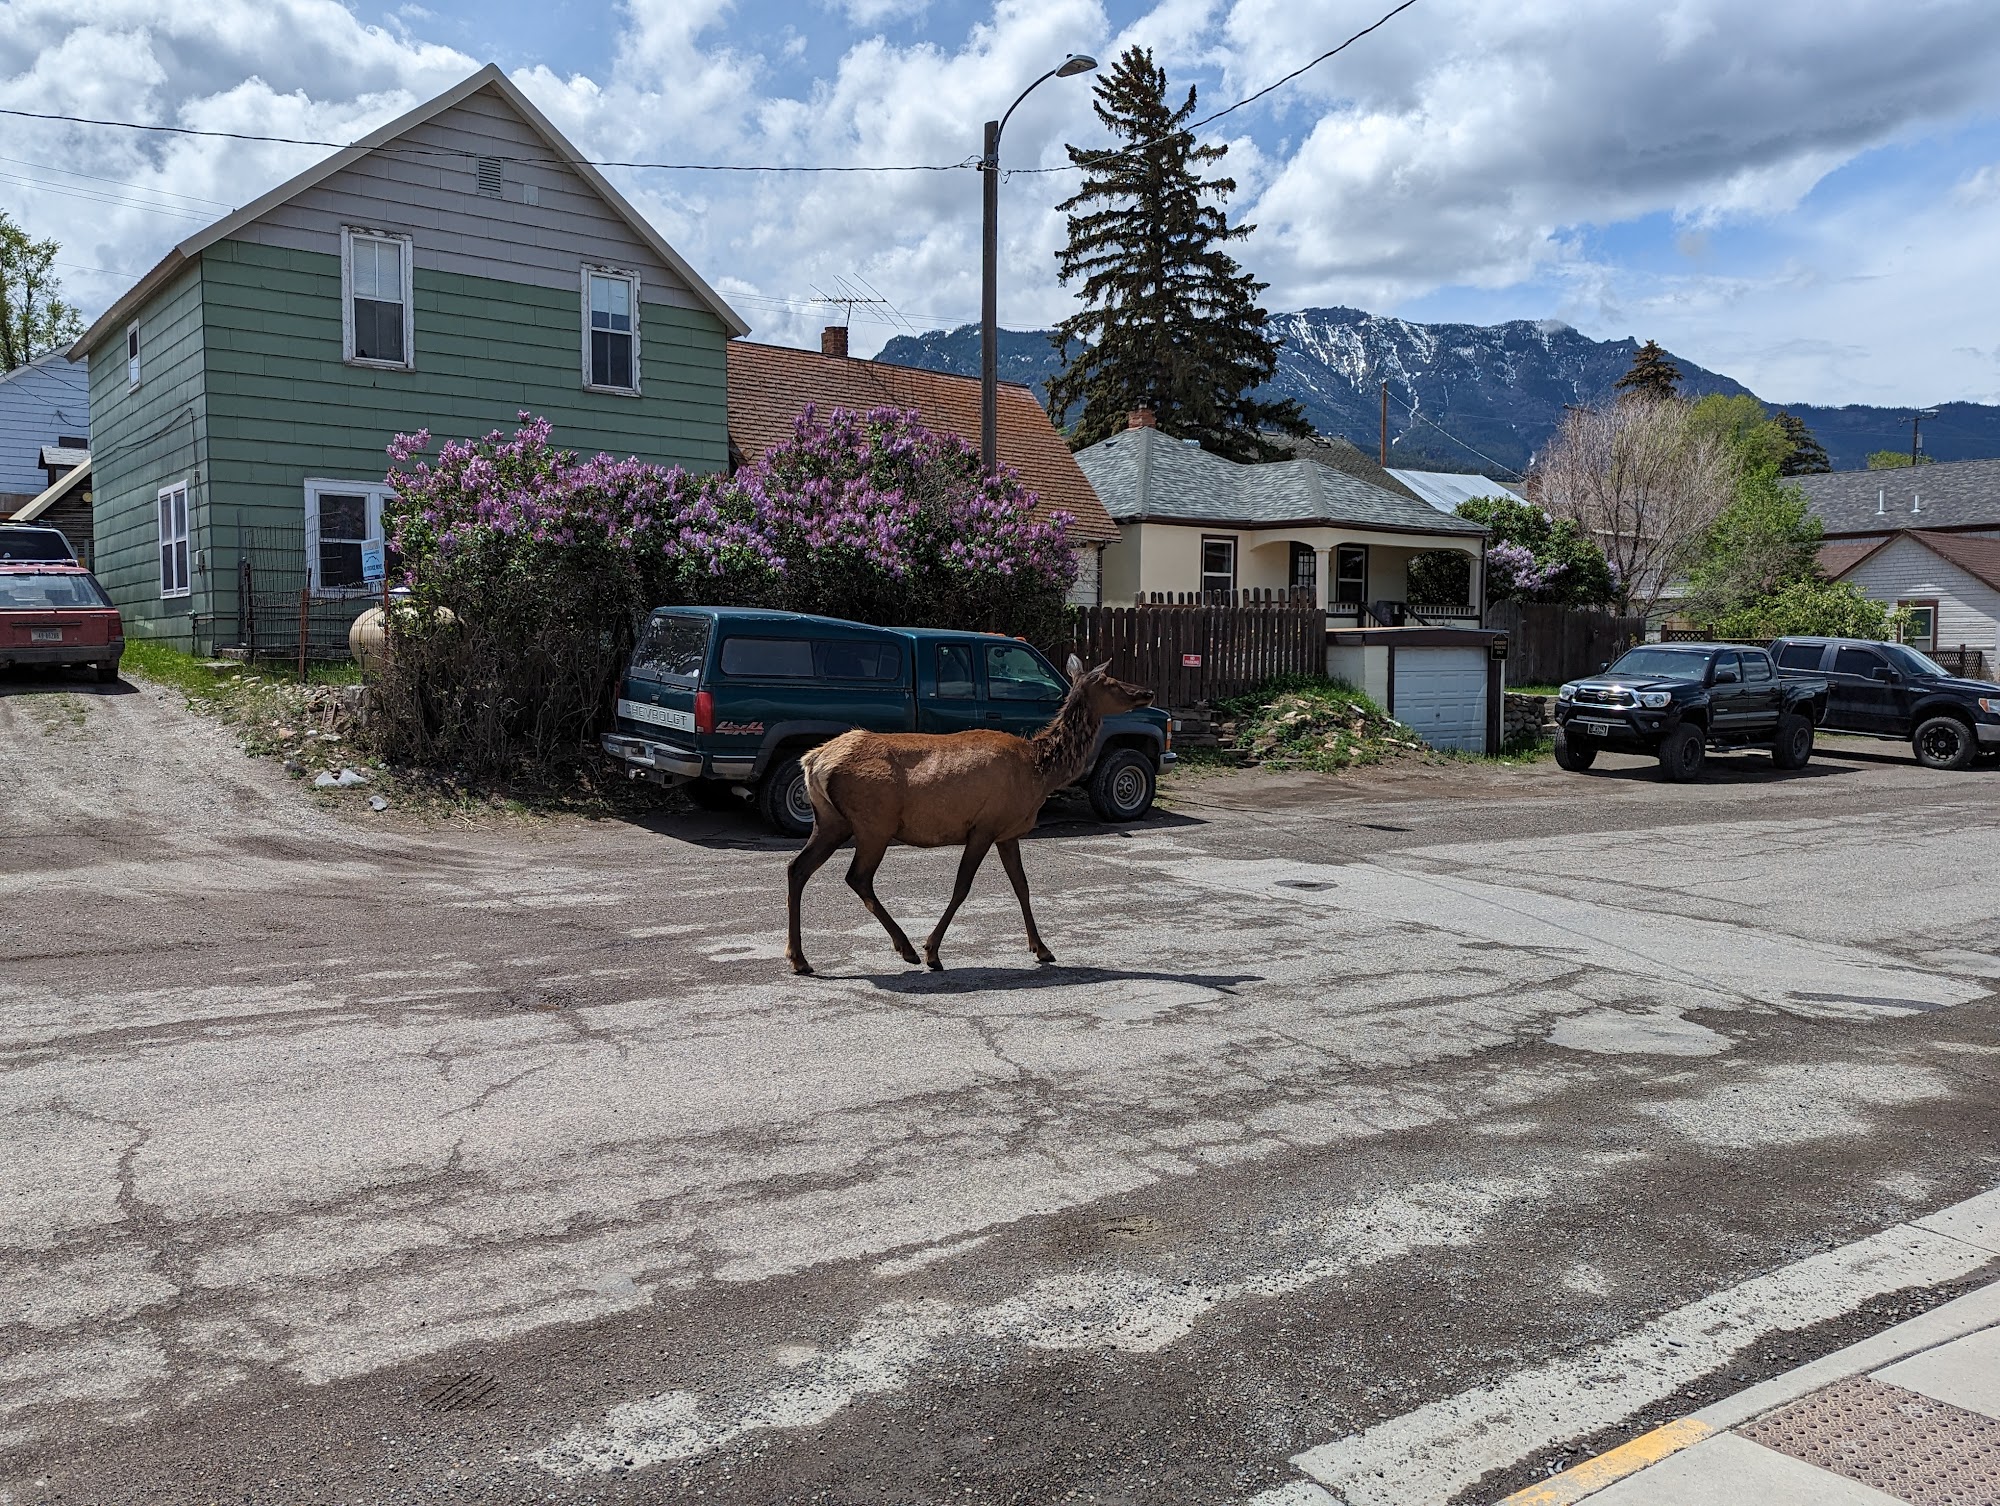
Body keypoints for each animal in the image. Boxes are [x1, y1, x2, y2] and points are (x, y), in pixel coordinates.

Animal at [784, 663, 1156, 976]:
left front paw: (1042, 949)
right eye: (1111, 681)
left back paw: (799, 958)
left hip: (831, 821)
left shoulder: (1008, 832)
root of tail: (813, 761)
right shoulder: (984, 826)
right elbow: (962, 886)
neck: (1039, 773)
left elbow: (1022, 886)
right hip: (874, 823)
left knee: (797, 868)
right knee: (857, 877)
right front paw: (932, 951)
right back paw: (906, 949)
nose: (1147, 692)